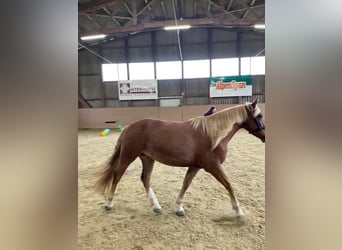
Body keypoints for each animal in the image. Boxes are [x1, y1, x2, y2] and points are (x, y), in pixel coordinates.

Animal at [95, 98, 266, 218]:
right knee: (117, 175)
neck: (213, 136)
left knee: (145, 178)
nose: (265, 136)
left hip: (147, 158)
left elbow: (186, 184)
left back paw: (157, 207)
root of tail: (129, 127)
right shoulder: (213, 166)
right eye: (260, 115)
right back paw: (109, 203)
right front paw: (238, 211)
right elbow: (228, 185)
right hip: (128, 155)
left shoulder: (195, 166)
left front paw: (179, 208)